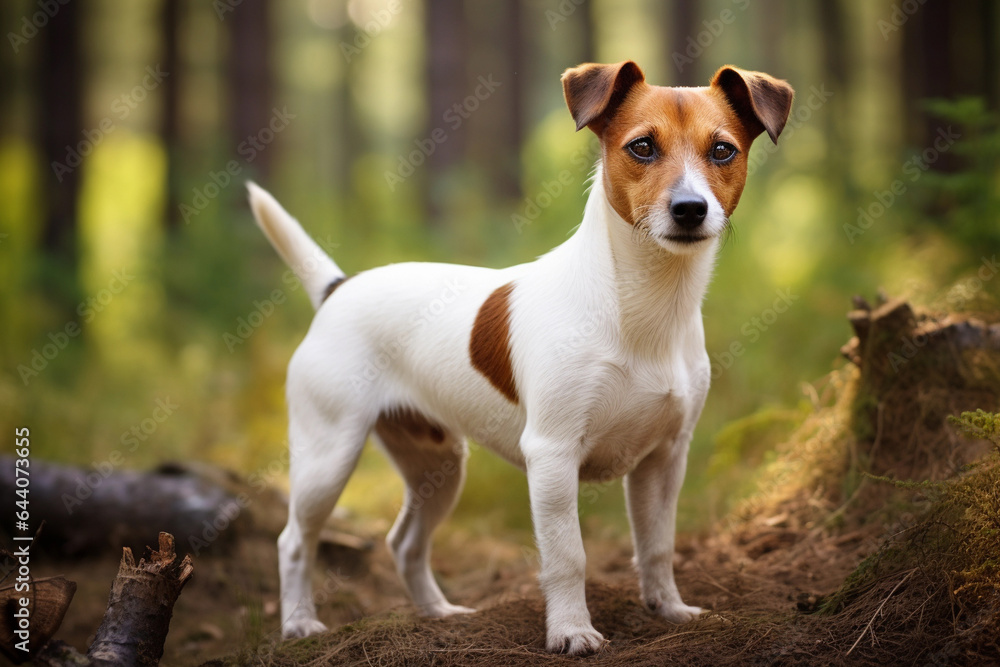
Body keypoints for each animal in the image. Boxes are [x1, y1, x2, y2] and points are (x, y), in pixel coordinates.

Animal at [246, 60, 792, 656]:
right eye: (643, 147)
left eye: (722, 151)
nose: (690, 209)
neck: (644, 308)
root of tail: (337, 289)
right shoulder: (551, 456)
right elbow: (567, 556)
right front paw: (572, 631)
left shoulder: (664, 459)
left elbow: (657, 544)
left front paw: (669, 609)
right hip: (328, 456)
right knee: (293, 540)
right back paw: (300, 623)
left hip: (438, 464)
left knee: (405, 541)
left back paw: (438, 613)